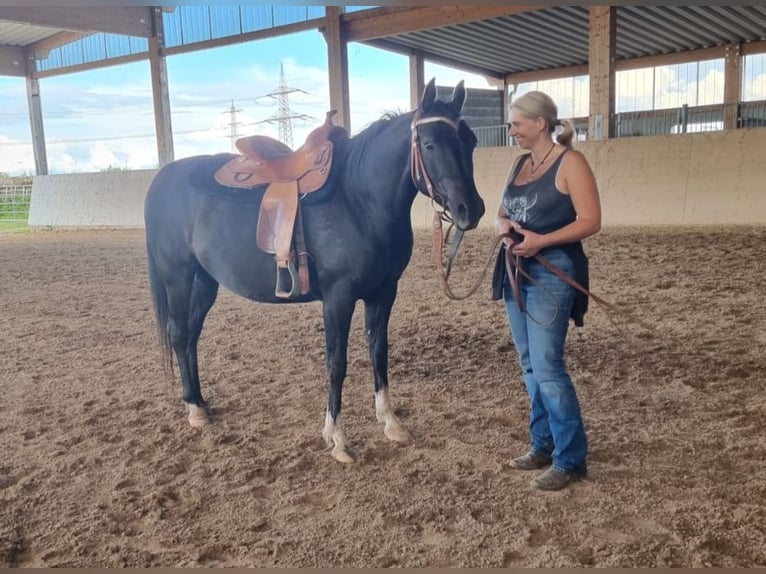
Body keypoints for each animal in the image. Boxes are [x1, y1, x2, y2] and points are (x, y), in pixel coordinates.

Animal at [146, 80, 486, 464]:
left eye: (470, 141)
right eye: (429, 144)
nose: (470, 209)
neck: (359, 200)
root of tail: (162, 179)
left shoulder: (384, 293)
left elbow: (379, 353)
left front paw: (390, 423)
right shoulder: (338, 298)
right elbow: (336, 363)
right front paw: (337, 439)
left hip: (205, 282)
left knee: (191, 336)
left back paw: (201, 403)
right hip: (177, 278)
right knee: (178, 333)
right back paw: (193, 409)